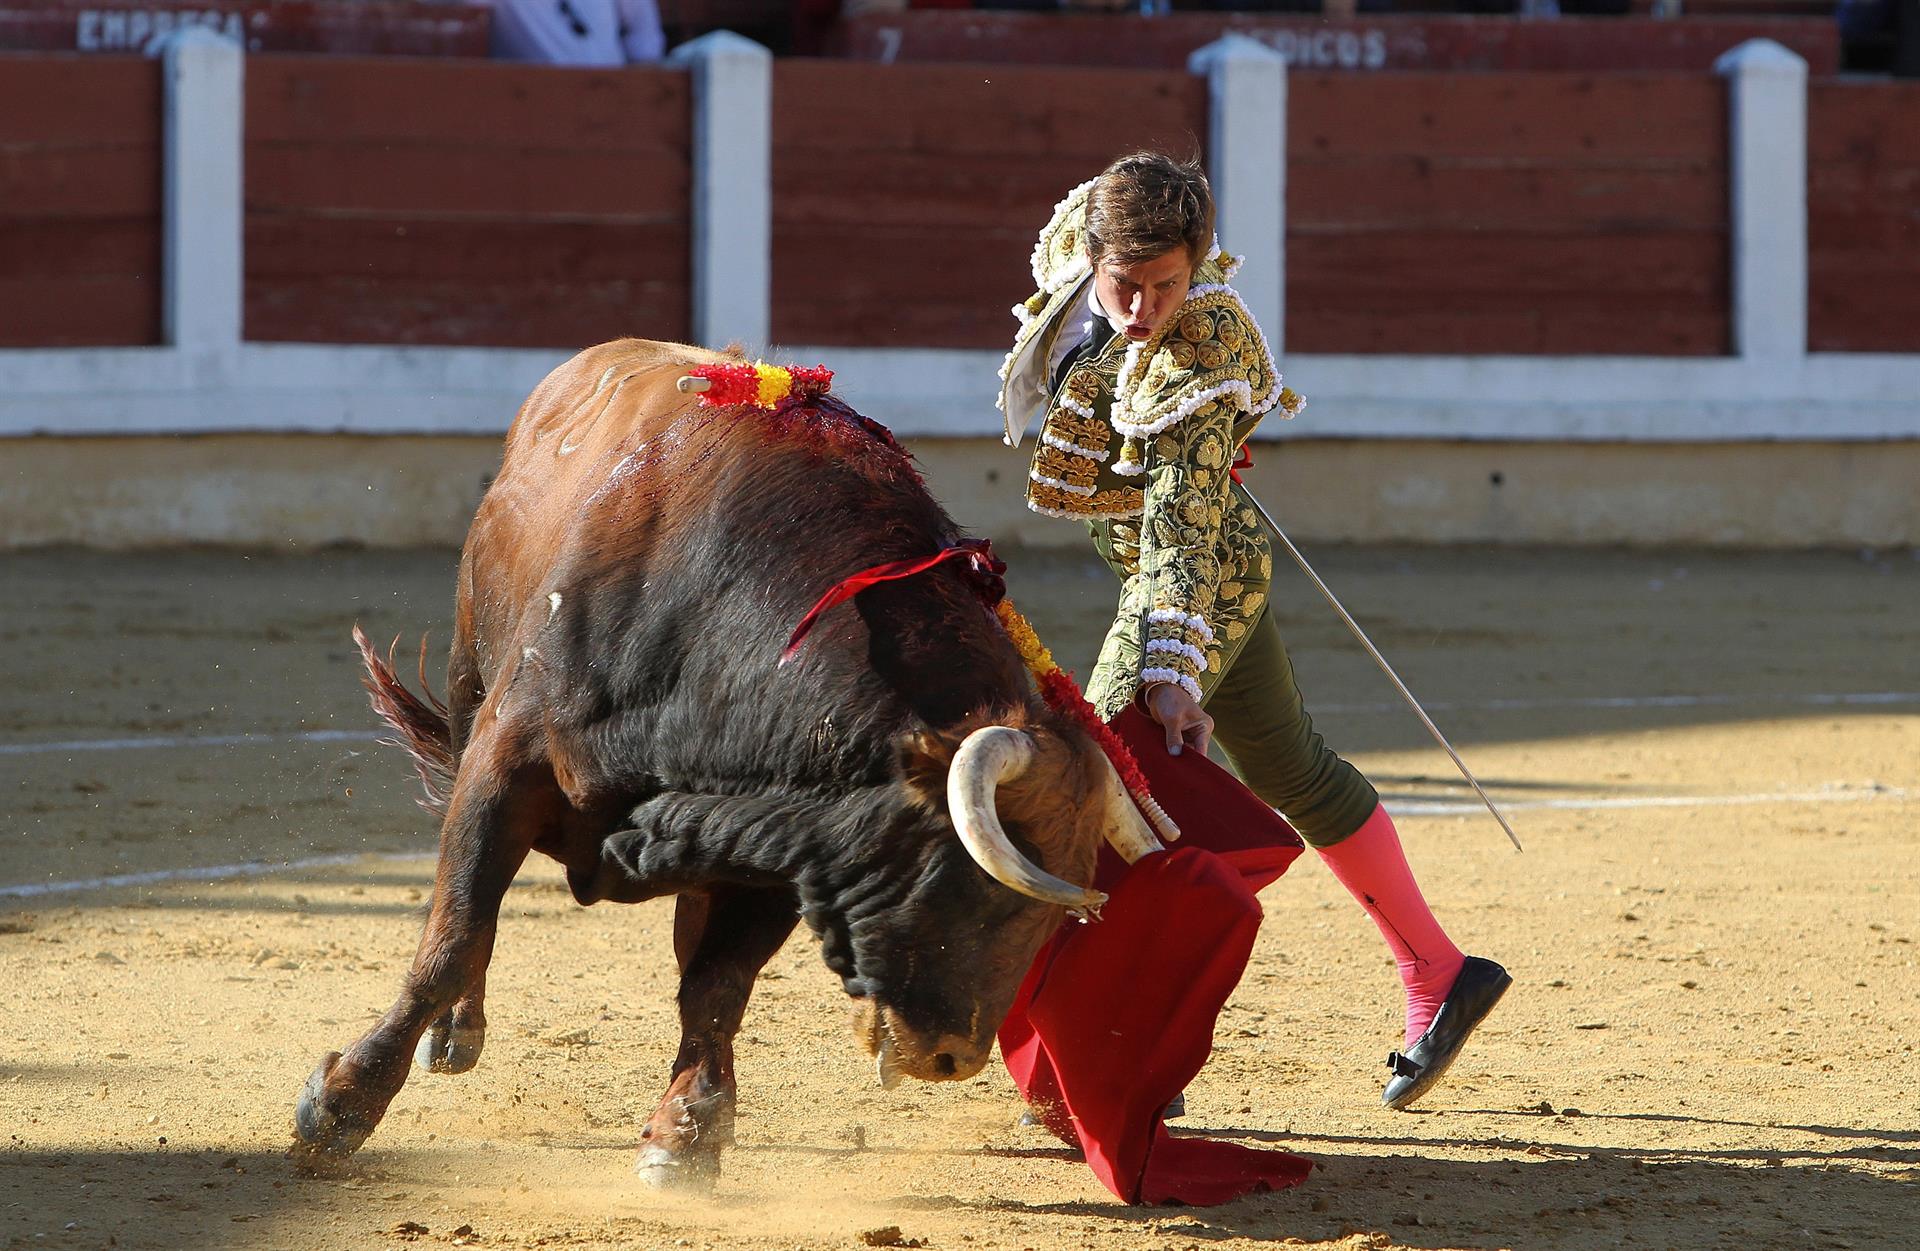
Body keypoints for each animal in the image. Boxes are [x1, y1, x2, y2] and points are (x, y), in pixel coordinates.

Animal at [284, 339, 1152, 1181]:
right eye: (980, 887)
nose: (950, 1056)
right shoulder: (505, 761)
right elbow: (456, 931)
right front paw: (341, 1104)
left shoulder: (788, 837)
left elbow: (716, 984)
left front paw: (686, 1132)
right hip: (471, 684)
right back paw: (454, 1033)